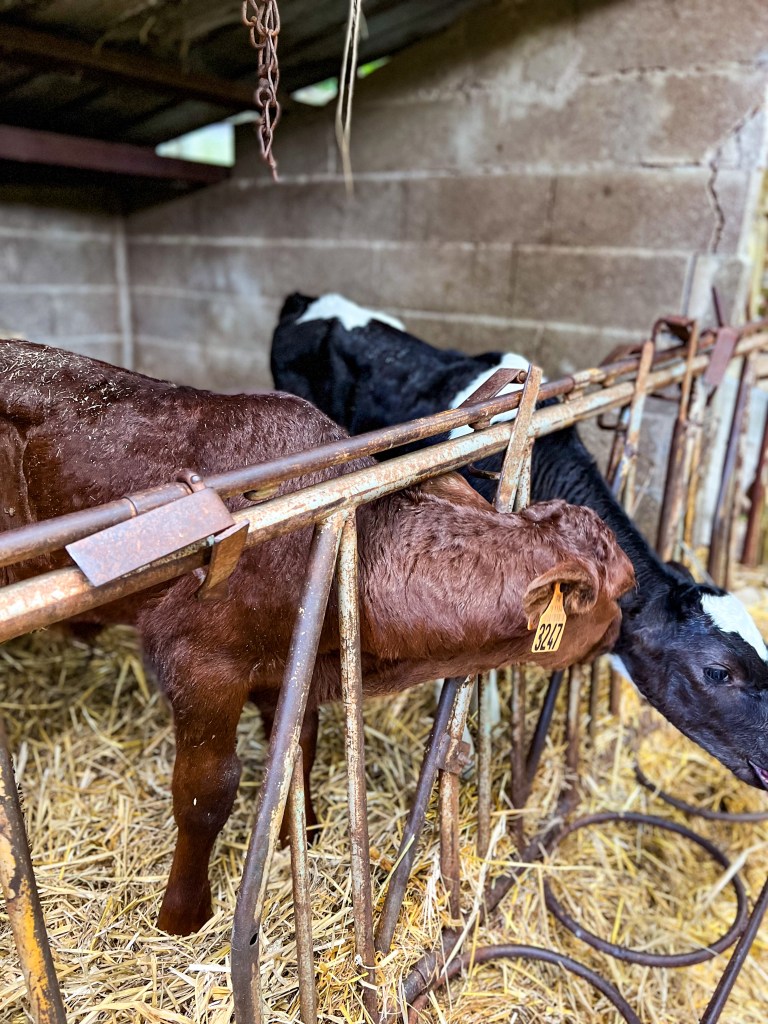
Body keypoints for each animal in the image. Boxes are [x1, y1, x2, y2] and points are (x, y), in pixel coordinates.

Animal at [0, 337, 634, 935]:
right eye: (620, 591)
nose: (620, 631)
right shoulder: (198, 664)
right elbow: (206, 794)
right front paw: (183, 916)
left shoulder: (290, 662)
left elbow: (297, 745)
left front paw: (298, 835)